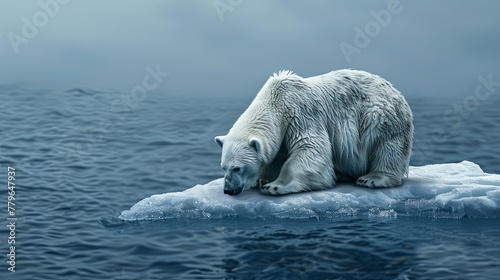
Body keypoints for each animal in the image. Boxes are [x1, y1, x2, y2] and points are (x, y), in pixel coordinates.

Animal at [215, 69, 414, 195]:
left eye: (237, 168)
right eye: (223, 167)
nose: (228, 190)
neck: (277, 101)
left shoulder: (301, 114)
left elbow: (310, 147)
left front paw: (275, 186)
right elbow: (278, 154)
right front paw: (263, 180)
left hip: (379, 115)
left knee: (387, 146)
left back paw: (372, 178)